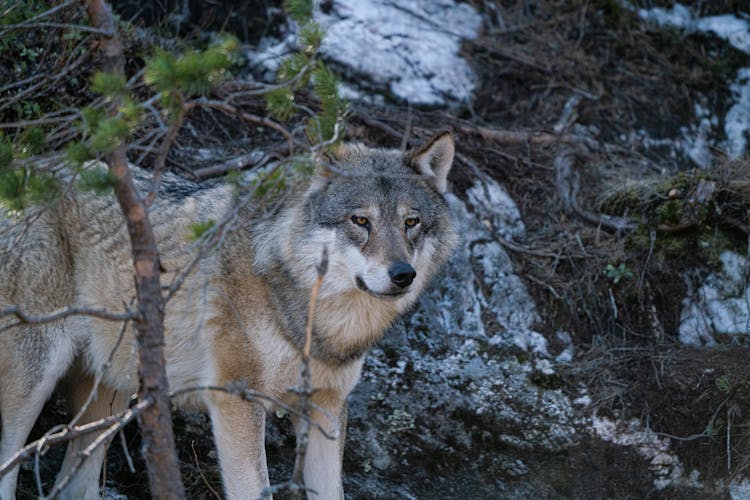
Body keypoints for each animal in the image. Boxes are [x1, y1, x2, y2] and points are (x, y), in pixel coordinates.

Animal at [0, 131, 458, 498]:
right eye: (360, 220)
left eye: (411, 222)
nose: (402, 274)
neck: (313, 321)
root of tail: (21, 165)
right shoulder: (237, 401)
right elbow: (254, 489)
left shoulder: (327, 407)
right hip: (37, 378)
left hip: (110, 395)